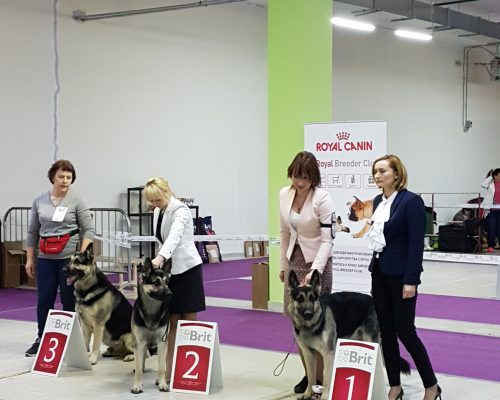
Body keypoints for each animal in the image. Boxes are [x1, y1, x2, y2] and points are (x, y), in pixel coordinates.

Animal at [131, 257, 172, 394]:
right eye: (156, 282)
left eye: (167, 282)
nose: (170, 293)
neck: (152, 310)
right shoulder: (139, 342)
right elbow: (138, 368)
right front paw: (137, 386)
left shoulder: (161, 343)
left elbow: (161, 368)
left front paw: (163, 384)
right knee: (141, 359)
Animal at [288, 270, 409, 399]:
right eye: (300, 299)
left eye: (312, 298)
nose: (308, 314)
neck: (312, 326)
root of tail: (373, 300)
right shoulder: (308, 354)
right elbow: (311, 375)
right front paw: (307, 394)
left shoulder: (328, 354)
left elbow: (326, 377)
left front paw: (325, 396)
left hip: (371, 340)